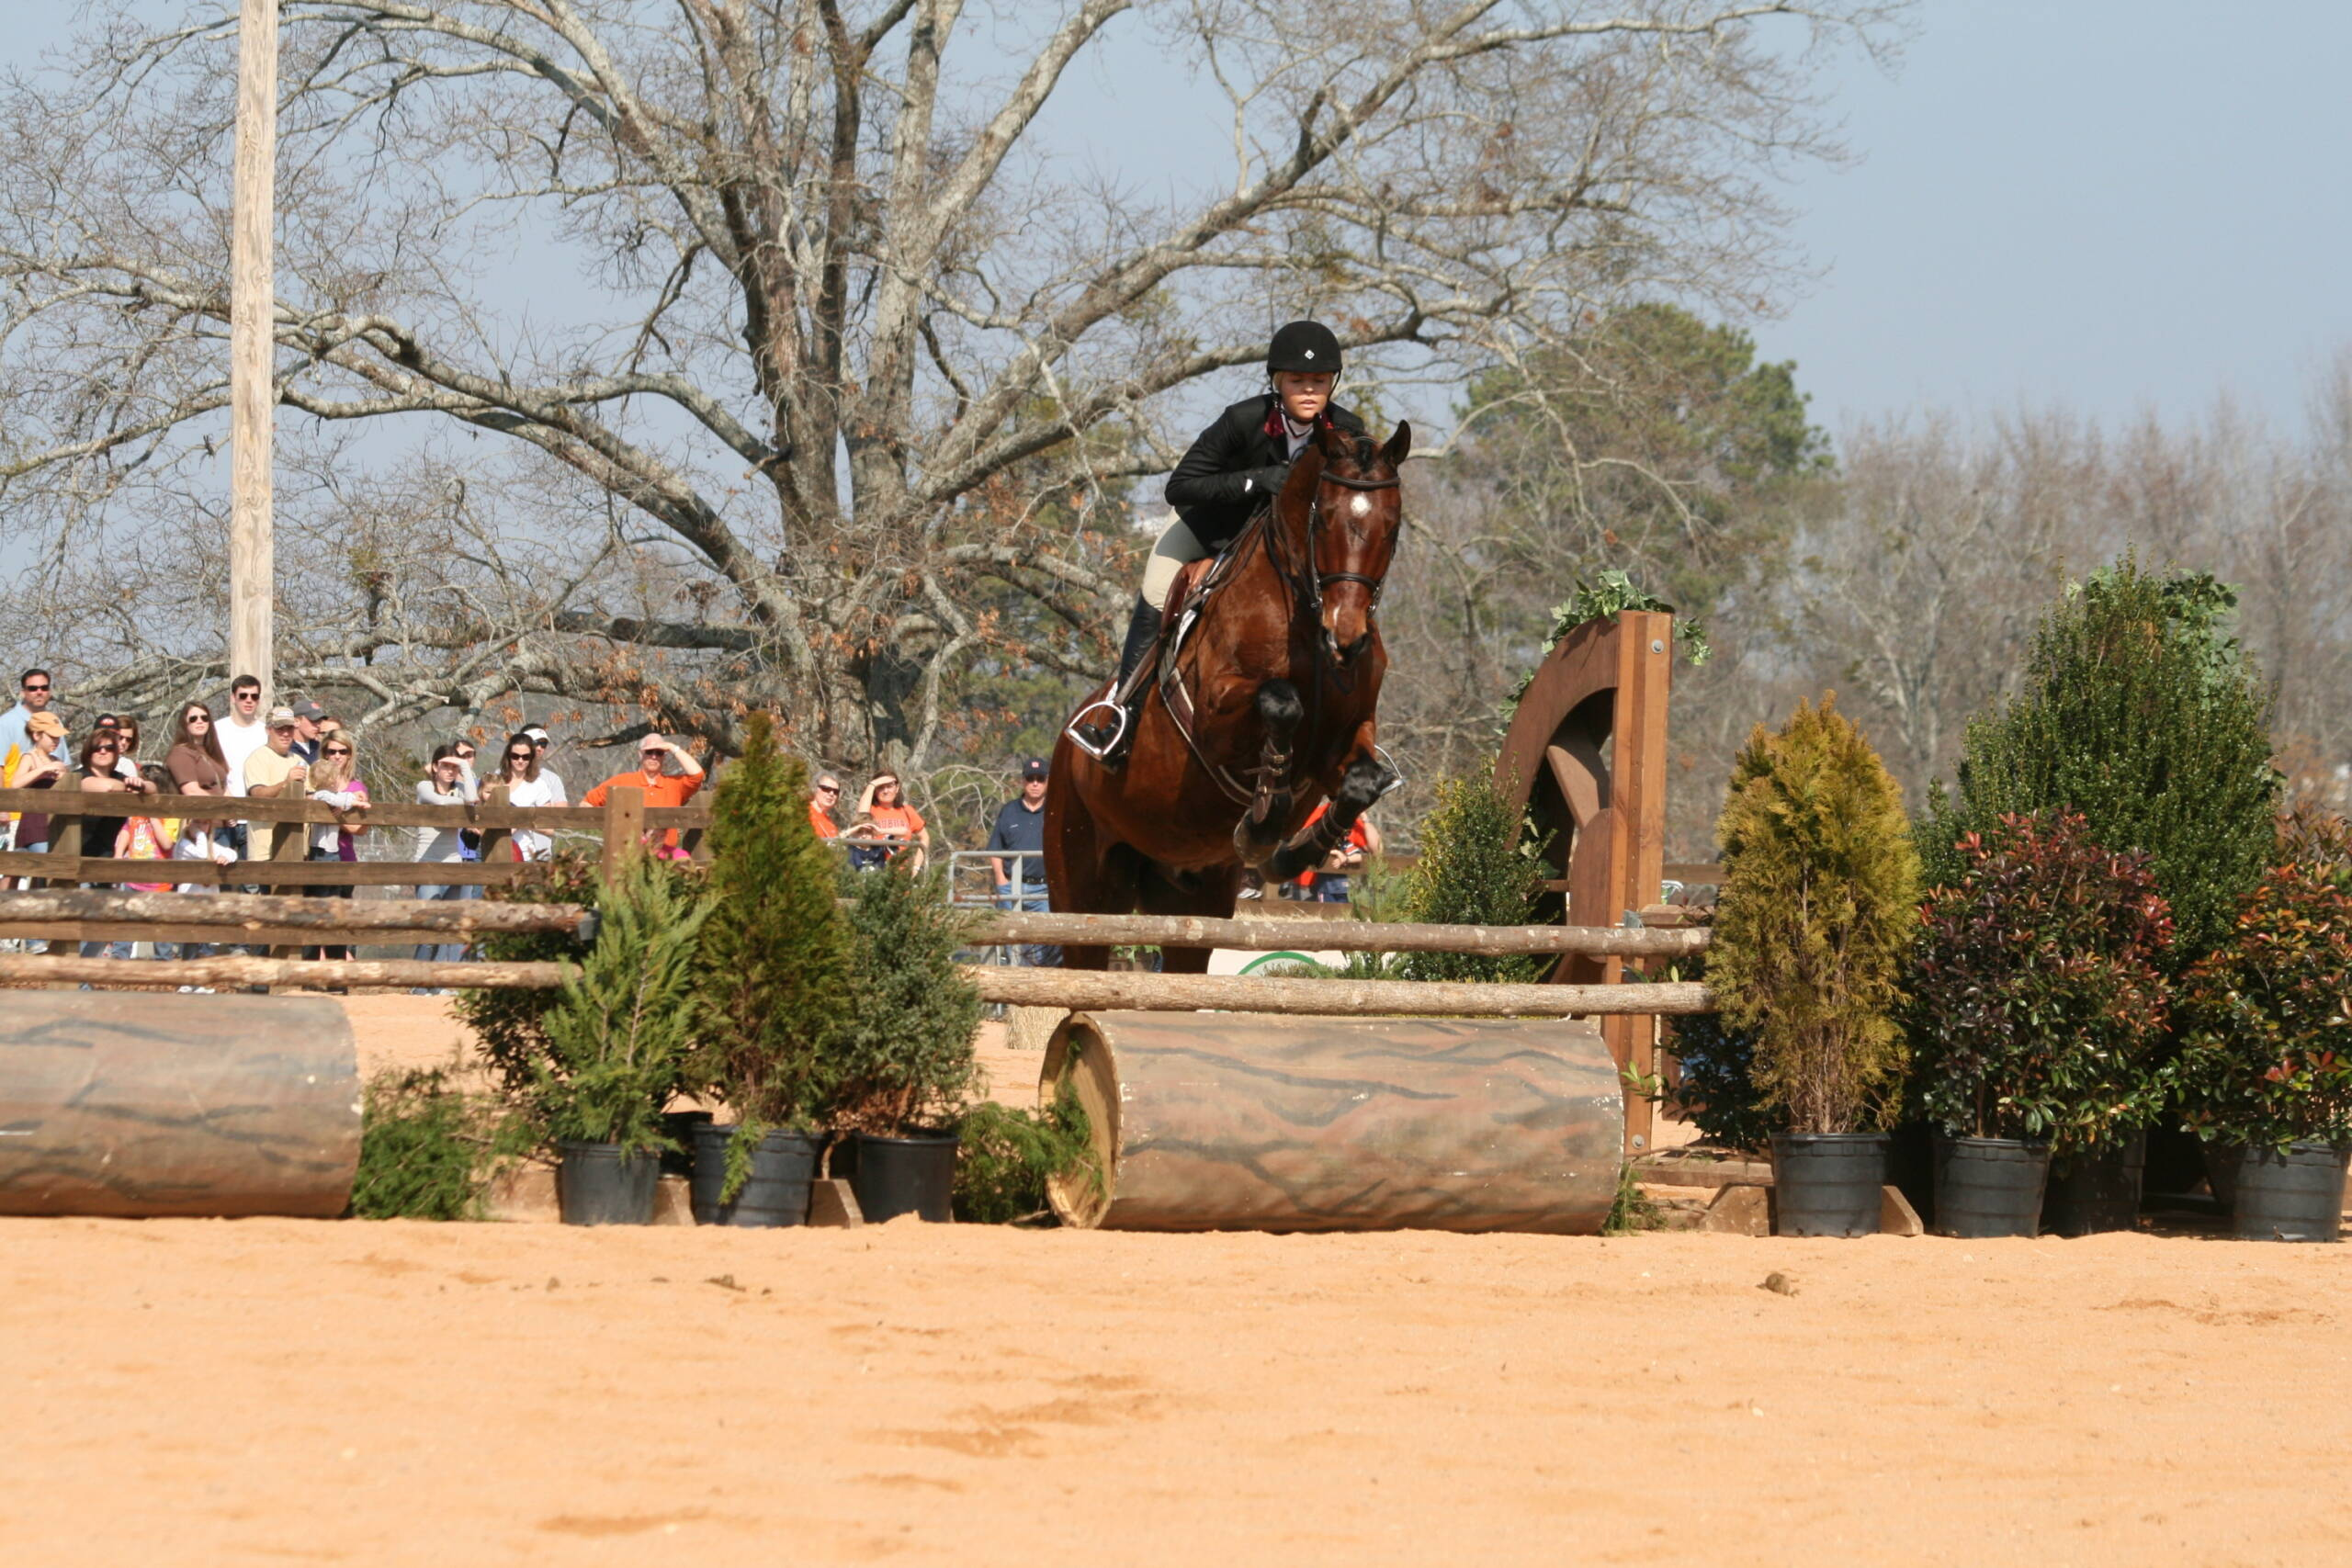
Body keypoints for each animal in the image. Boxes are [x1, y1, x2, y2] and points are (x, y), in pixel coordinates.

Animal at [1053, 411, 1411, 968]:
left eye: (1391, 528)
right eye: (1323, 520)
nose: (1346, 640)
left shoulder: (1344, 738)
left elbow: (1364, 781)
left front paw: (1293, 852)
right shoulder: (1213, 719)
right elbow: (1280, 703)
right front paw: (1261, 826)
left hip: (1193, 897)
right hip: (1081, 884)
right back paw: (1106, 732)